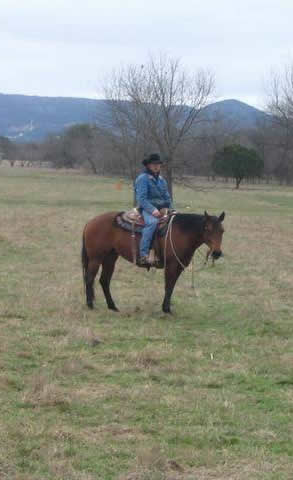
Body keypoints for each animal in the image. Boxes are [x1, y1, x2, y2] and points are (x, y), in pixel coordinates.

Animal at [81, 211, 225, 316]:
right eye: (207, 228)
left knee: (104, 281)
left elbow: (172, 286)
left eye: (222, 230)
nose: (217, 253)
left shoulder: (179, 267)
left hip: (110, 258)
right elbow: (168, 286)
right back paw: (90, 305)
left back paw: (112, 306)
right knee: (89, 279)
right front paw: (166, 309)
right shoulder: (171, 265)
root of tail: (90, 222)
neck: (181, 232)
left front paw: (167, 307)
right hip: (96, 258)